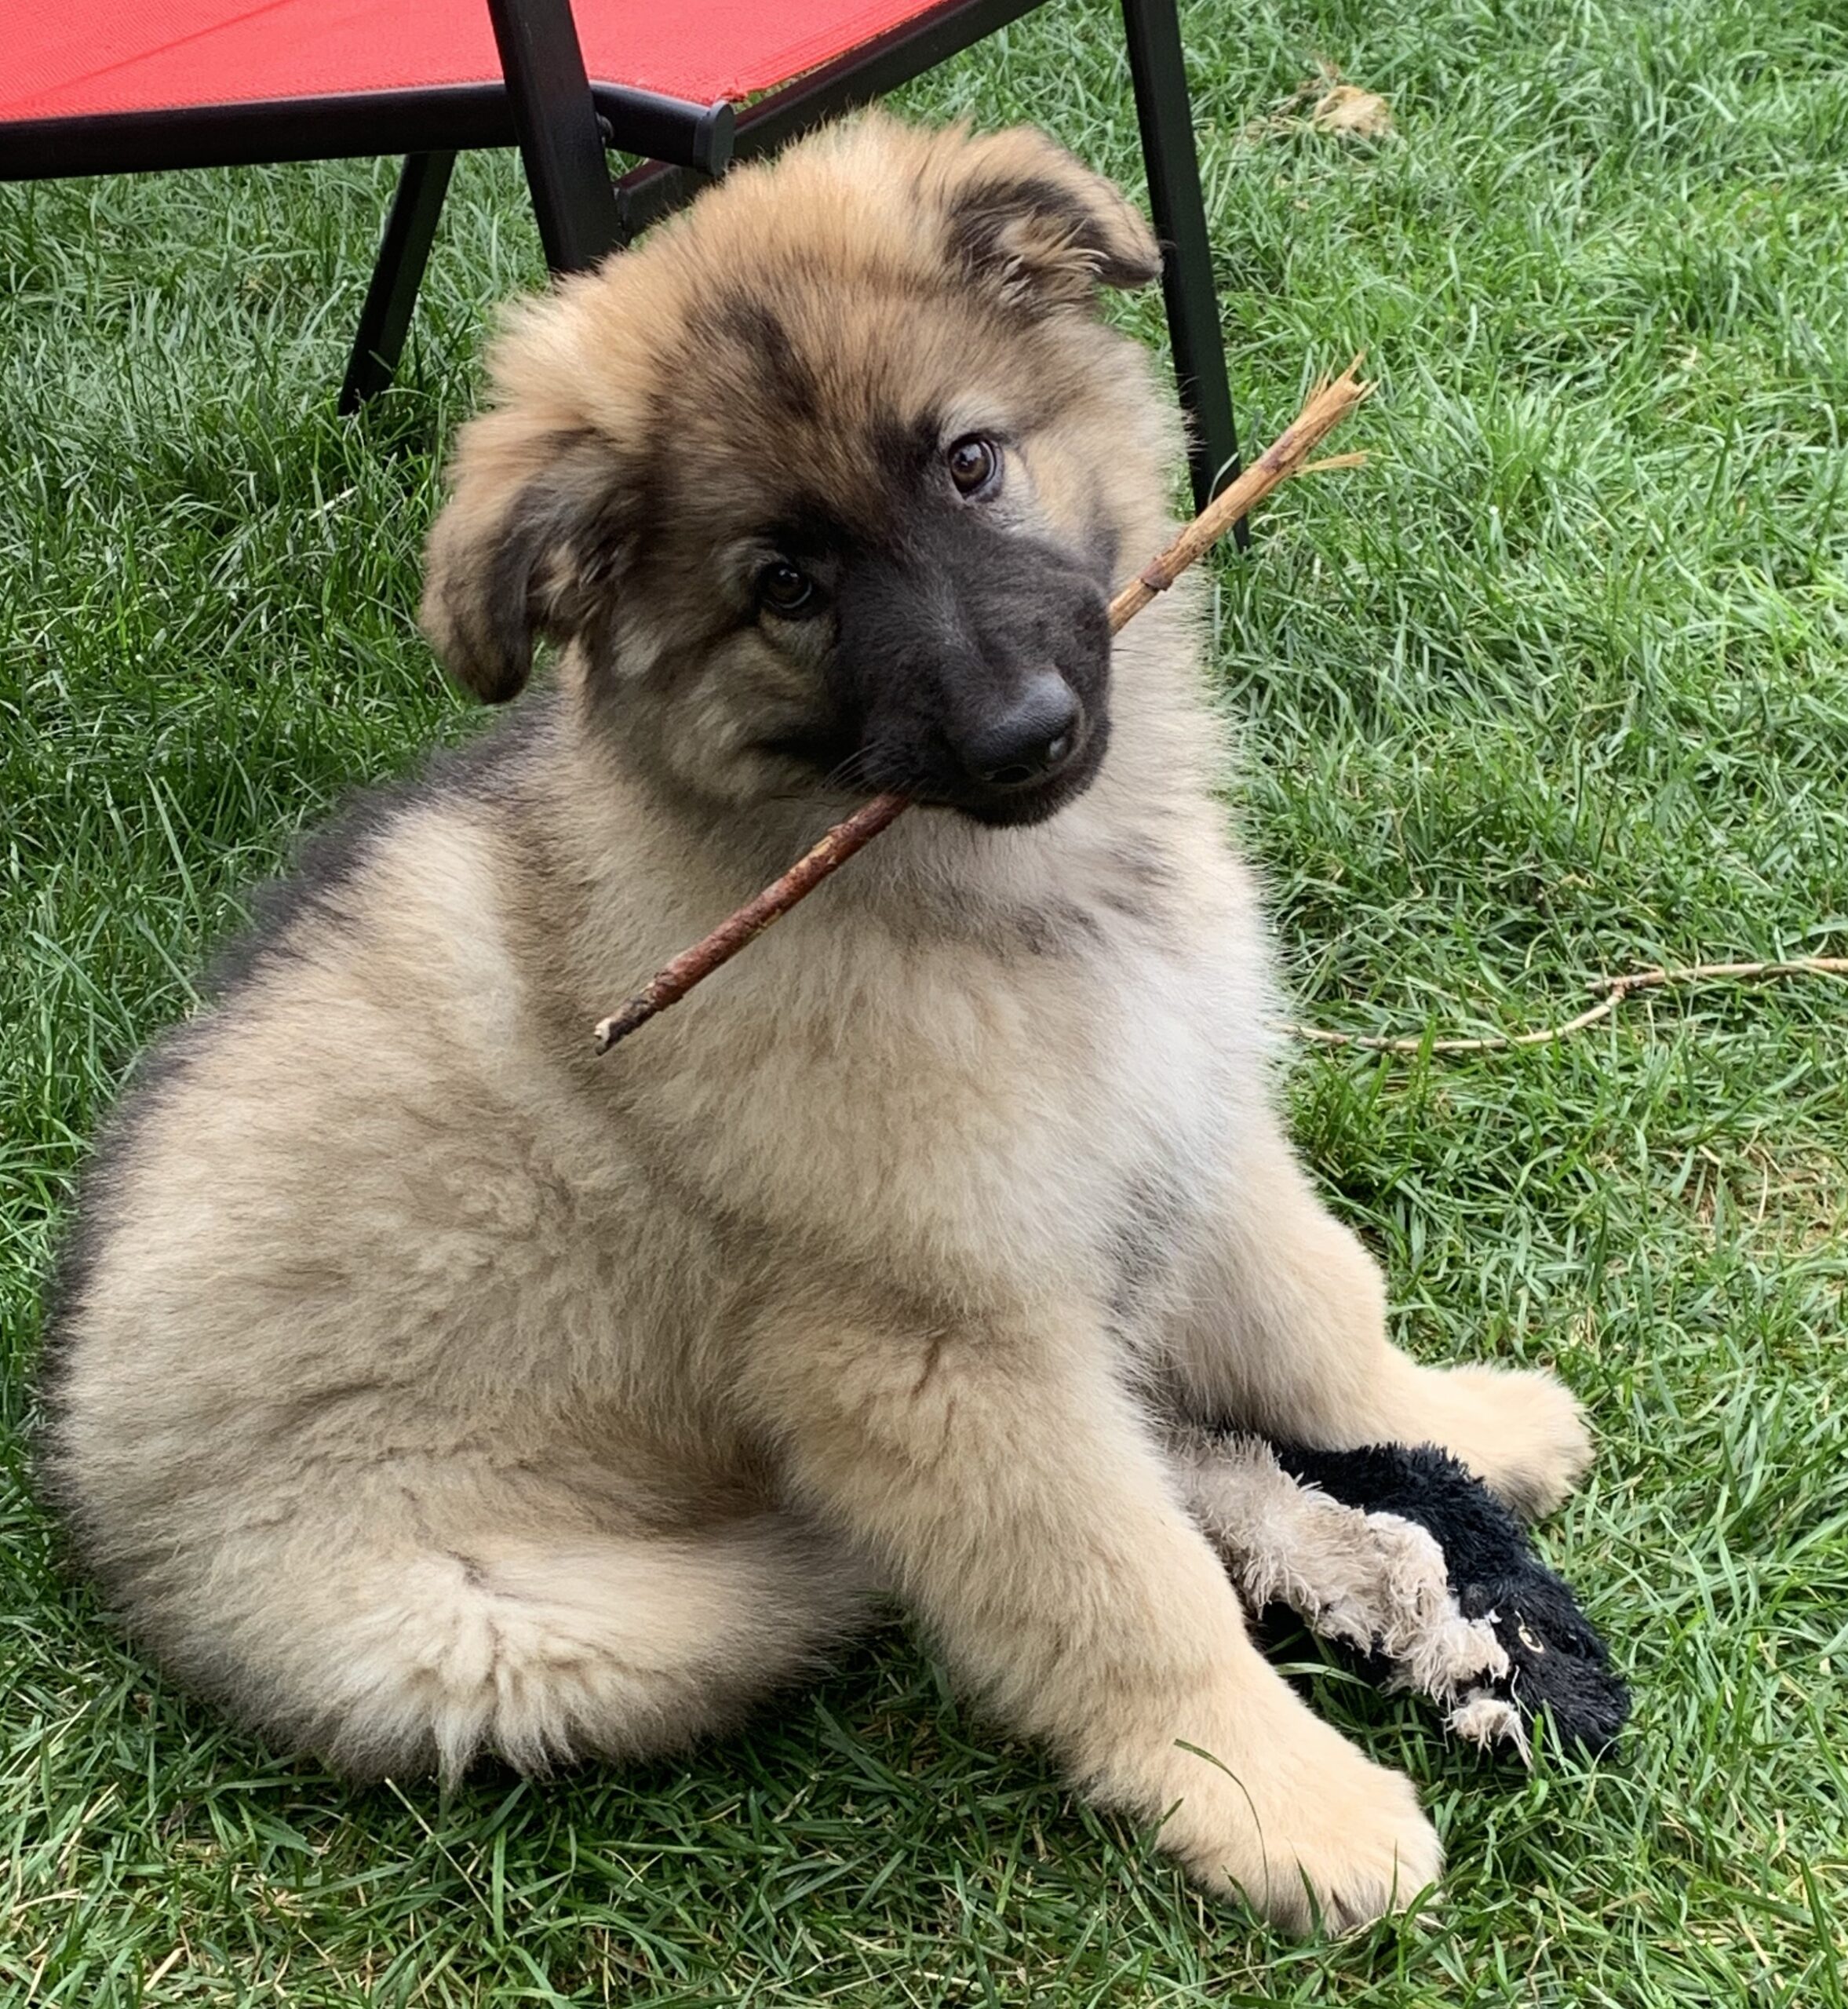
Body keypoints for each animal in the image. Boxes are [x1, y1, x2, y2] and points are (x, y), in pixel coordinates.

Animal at [39, 115, 1591, 1932]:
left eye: (971, 464)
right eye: (782, 585)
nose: (1022, 732)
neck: (1011, 901)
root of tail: (96, 1515)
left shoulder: (1182, 1107)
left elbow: (1316, 1311)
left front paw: (1461, 1421)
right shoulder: (930, 1341)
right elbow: (1121, 1584)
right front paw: (1275, 1797)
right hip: (507, 1637)